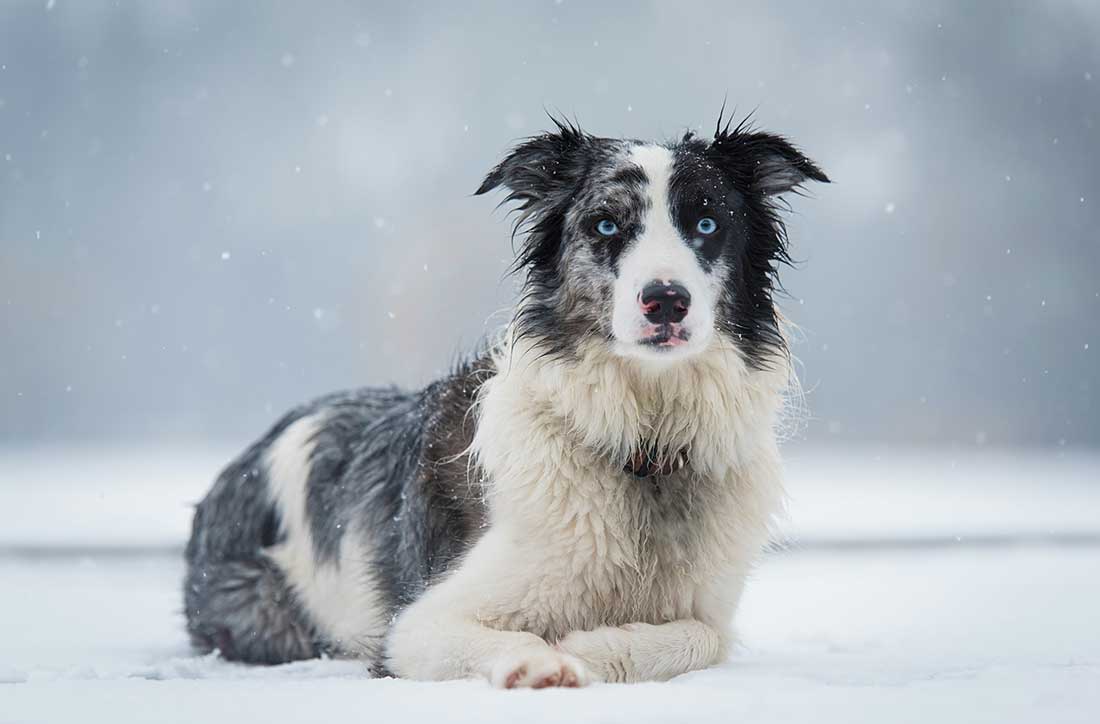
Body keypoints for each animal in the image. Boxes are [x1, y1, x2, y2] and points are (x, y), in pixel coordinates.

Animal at [184, 115, 827, 686]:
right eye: (605, 226)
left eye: (707, 222)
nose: (666, 300)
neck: (643, 443)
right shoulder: (414, 626)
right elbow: (504, 636)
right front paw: (543, 663)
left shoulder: (707, 609)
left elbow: (701, 637)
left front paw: (593, 648)